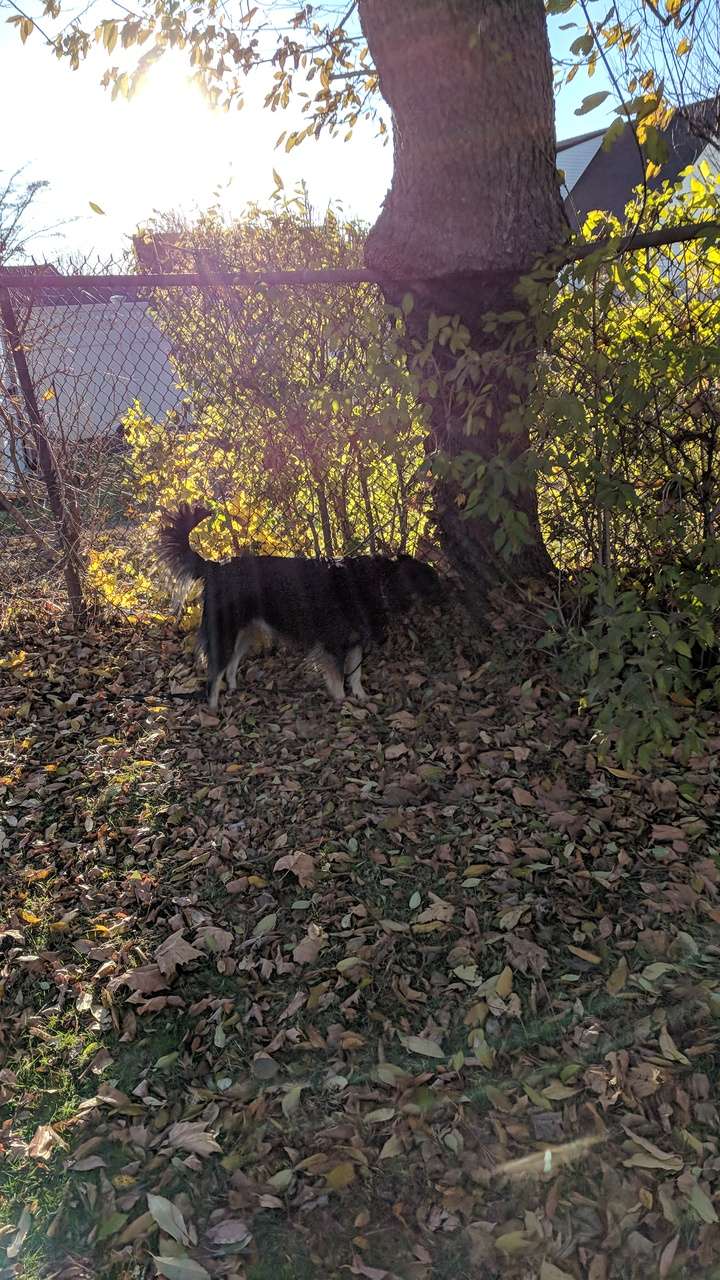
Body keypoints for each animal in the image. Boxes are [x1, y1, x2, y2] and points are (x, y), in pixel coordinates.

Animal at [158, 501, 438, 711]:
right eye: (425, 575)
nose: (444, 583)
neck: (372, 581)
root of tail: (215, 567)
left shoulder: (355, 641)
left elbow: (356, 674)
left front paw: (361, 697)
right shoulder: (332, 643)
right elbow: (338, 678)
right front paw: (343, 703)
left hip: (246, 632)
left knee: (230, 665)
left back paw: (234, 690)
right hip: (226, 633)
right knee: (214, 674)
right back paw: (214, 709)